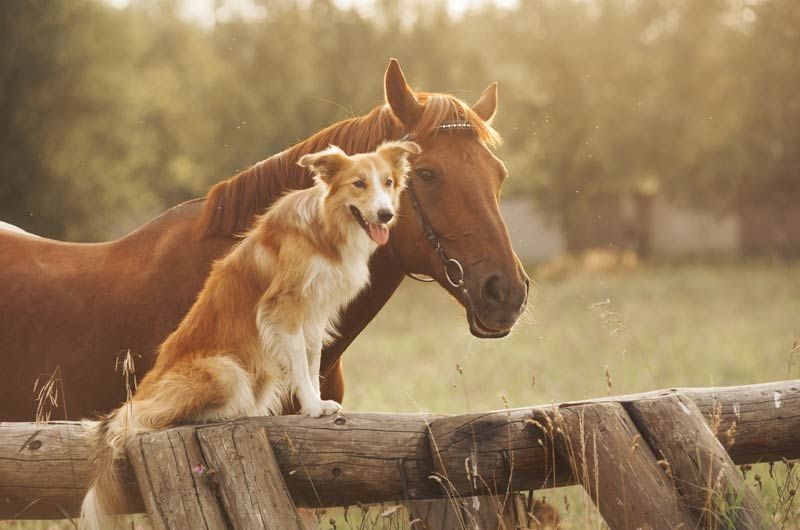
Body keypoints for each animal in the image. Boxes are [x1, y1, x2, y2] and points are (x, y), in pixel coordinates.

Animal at [78, 138, 422, 524]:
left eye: (388, 183)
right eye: (359, 184)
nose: (386, 215)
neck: (325, 229)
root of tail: (142, 392)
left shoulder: (315, 314)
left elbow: (312, 361)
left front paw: (317, 404)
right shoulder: (284, 308)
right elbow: (301, 365)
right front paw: (313, 408)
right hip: (226, 371)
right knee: (142, 418)